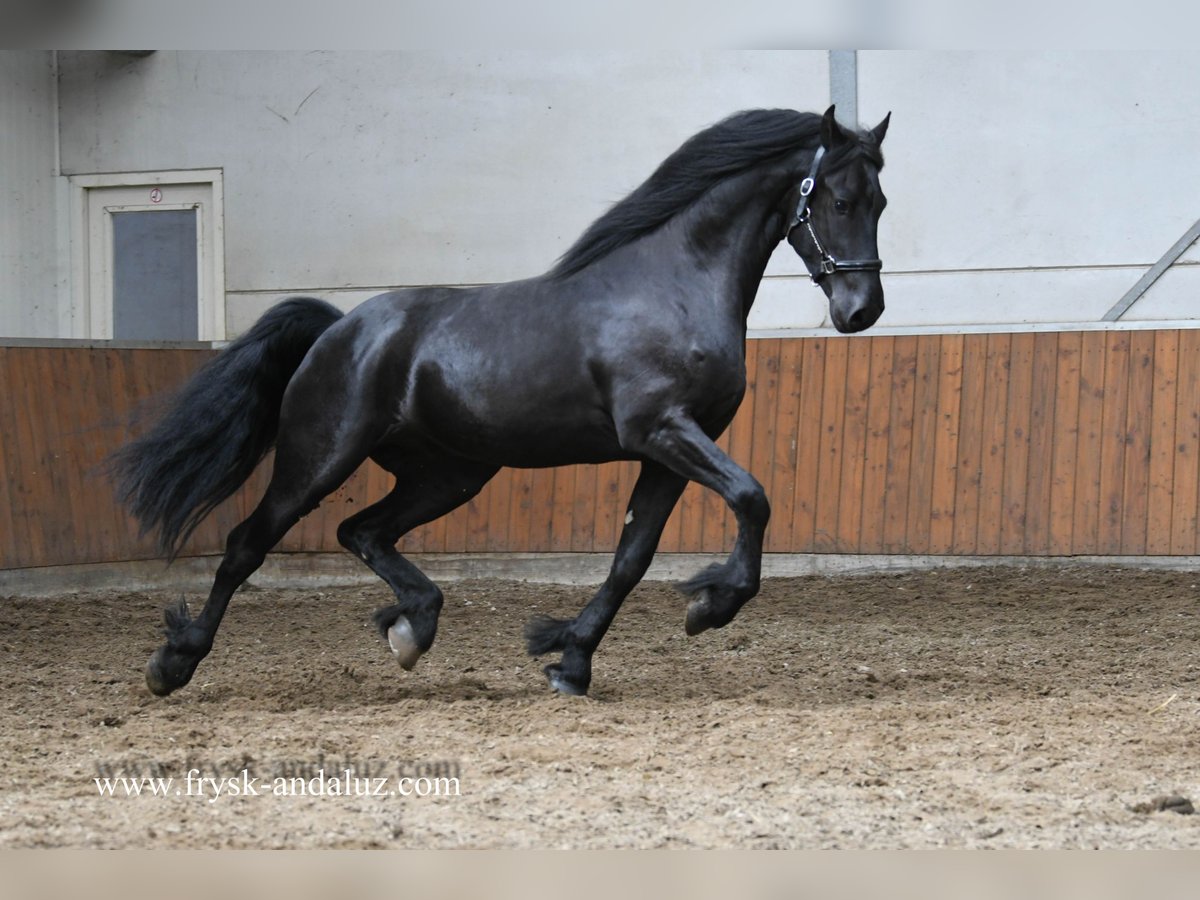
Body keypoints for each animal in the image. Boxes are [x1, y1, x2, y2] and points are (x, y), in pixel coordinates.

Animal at [112, 104, 890, 697]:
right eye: (839, 200)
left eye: (880, 202)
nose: (862, 311)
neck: (673, 283)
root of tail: (339, 328)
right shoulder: (663, 432)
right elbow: (753, 497)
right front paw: (709, 606)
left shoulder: (669, 452)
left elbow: (632, 558)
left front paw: (570, 659)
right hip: (320, 458)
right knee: (249, 544)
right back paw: (174, 663)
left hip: (450, 474)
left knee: (363, 531)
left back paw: (412, 626)